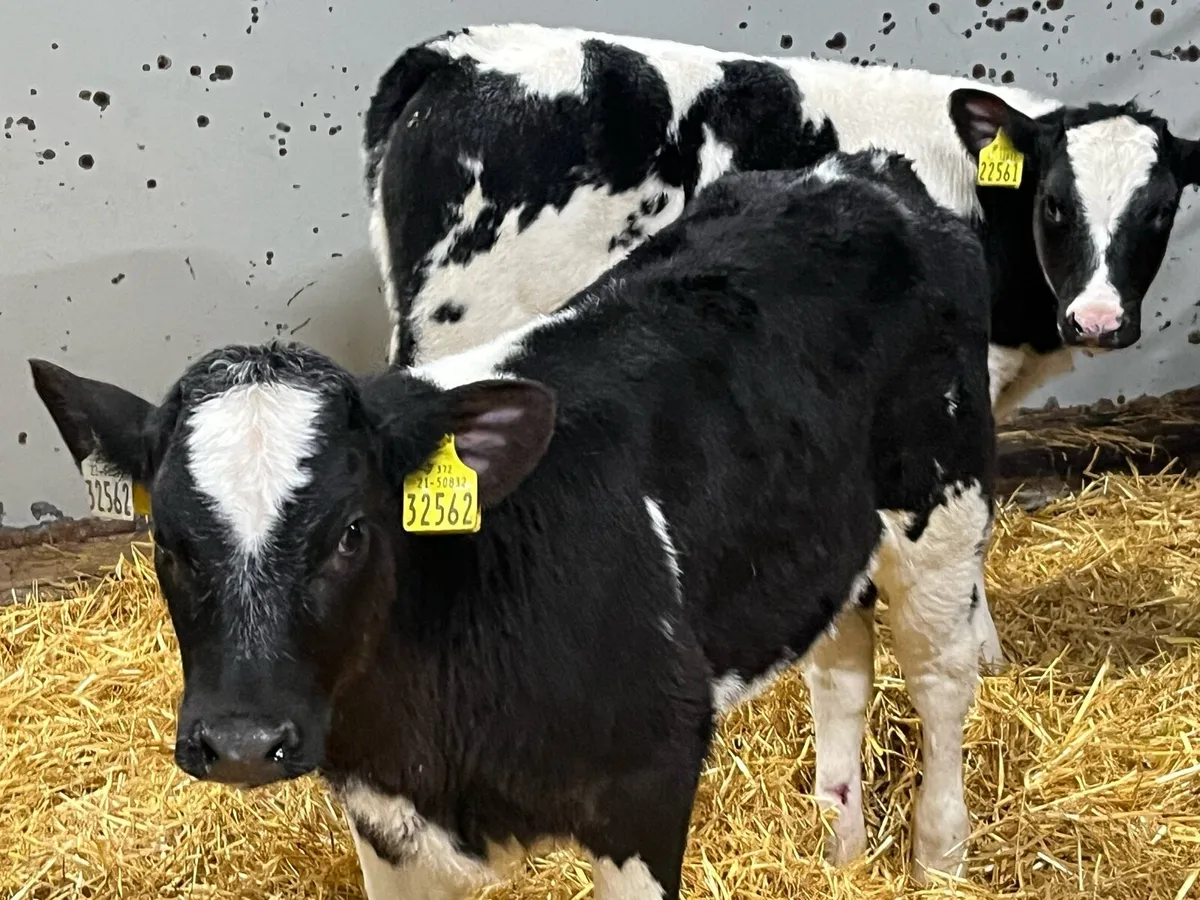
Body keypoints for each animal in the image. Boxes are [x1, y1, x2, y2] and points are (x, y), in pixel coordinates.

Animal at [30, 150, 994, 896]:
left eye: (352, 533)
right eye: (168, 543)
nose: (240, 741)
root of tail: (859, 172)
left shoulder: (648, 782)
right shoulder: (385, 822)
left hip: (943, 511)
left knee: (940, 677)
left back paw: (938, 859)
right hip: (823, 539)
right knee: (841, 668)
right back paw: (841, 849)